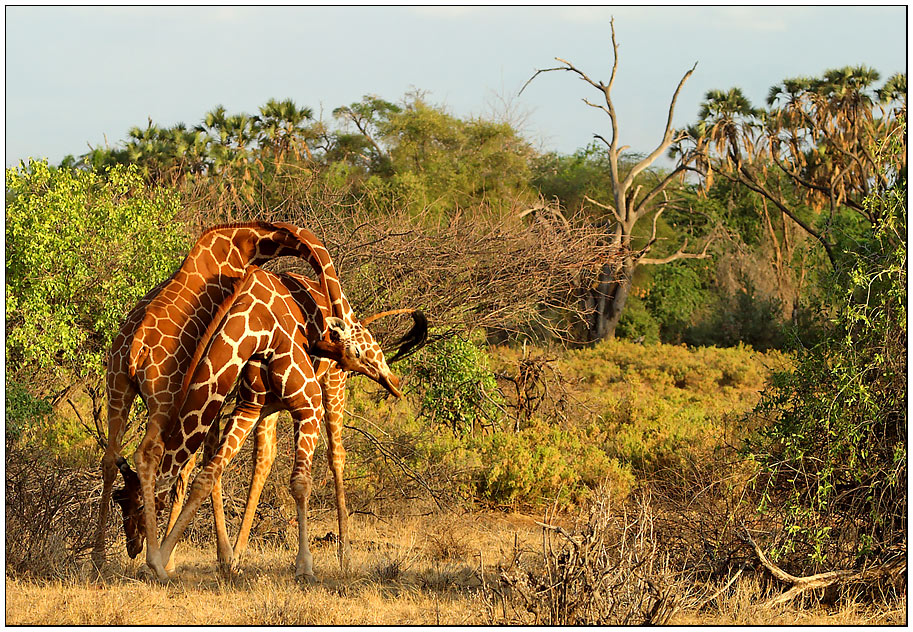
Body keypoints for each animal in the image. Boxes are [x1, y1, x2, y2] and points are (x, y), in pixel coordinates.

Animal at [92, 218, 350, 572]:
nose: (132, 545)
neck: (243, 244)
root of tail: (134, 349)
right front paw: (222, 557)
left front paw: (220, 556)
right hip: (164, 395)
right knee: (150, 455)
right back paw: (153, 558)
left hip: (117, 386)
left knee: (109, 457)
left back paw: (100, 559)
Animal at [111, 272, 424, 572]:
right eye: (122, 502)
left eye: (136, 504)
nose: (133, 547)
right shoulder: (248, 406)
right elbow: (206, 473)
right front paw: (168, 559)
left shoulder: (307, 405)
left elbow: (299, 482)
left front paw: (304, 566)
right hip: (271, 407)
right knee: (263, 459)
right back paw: (236, 554)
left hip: (334, 384)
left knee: (337, 454)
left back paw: (344, 556)